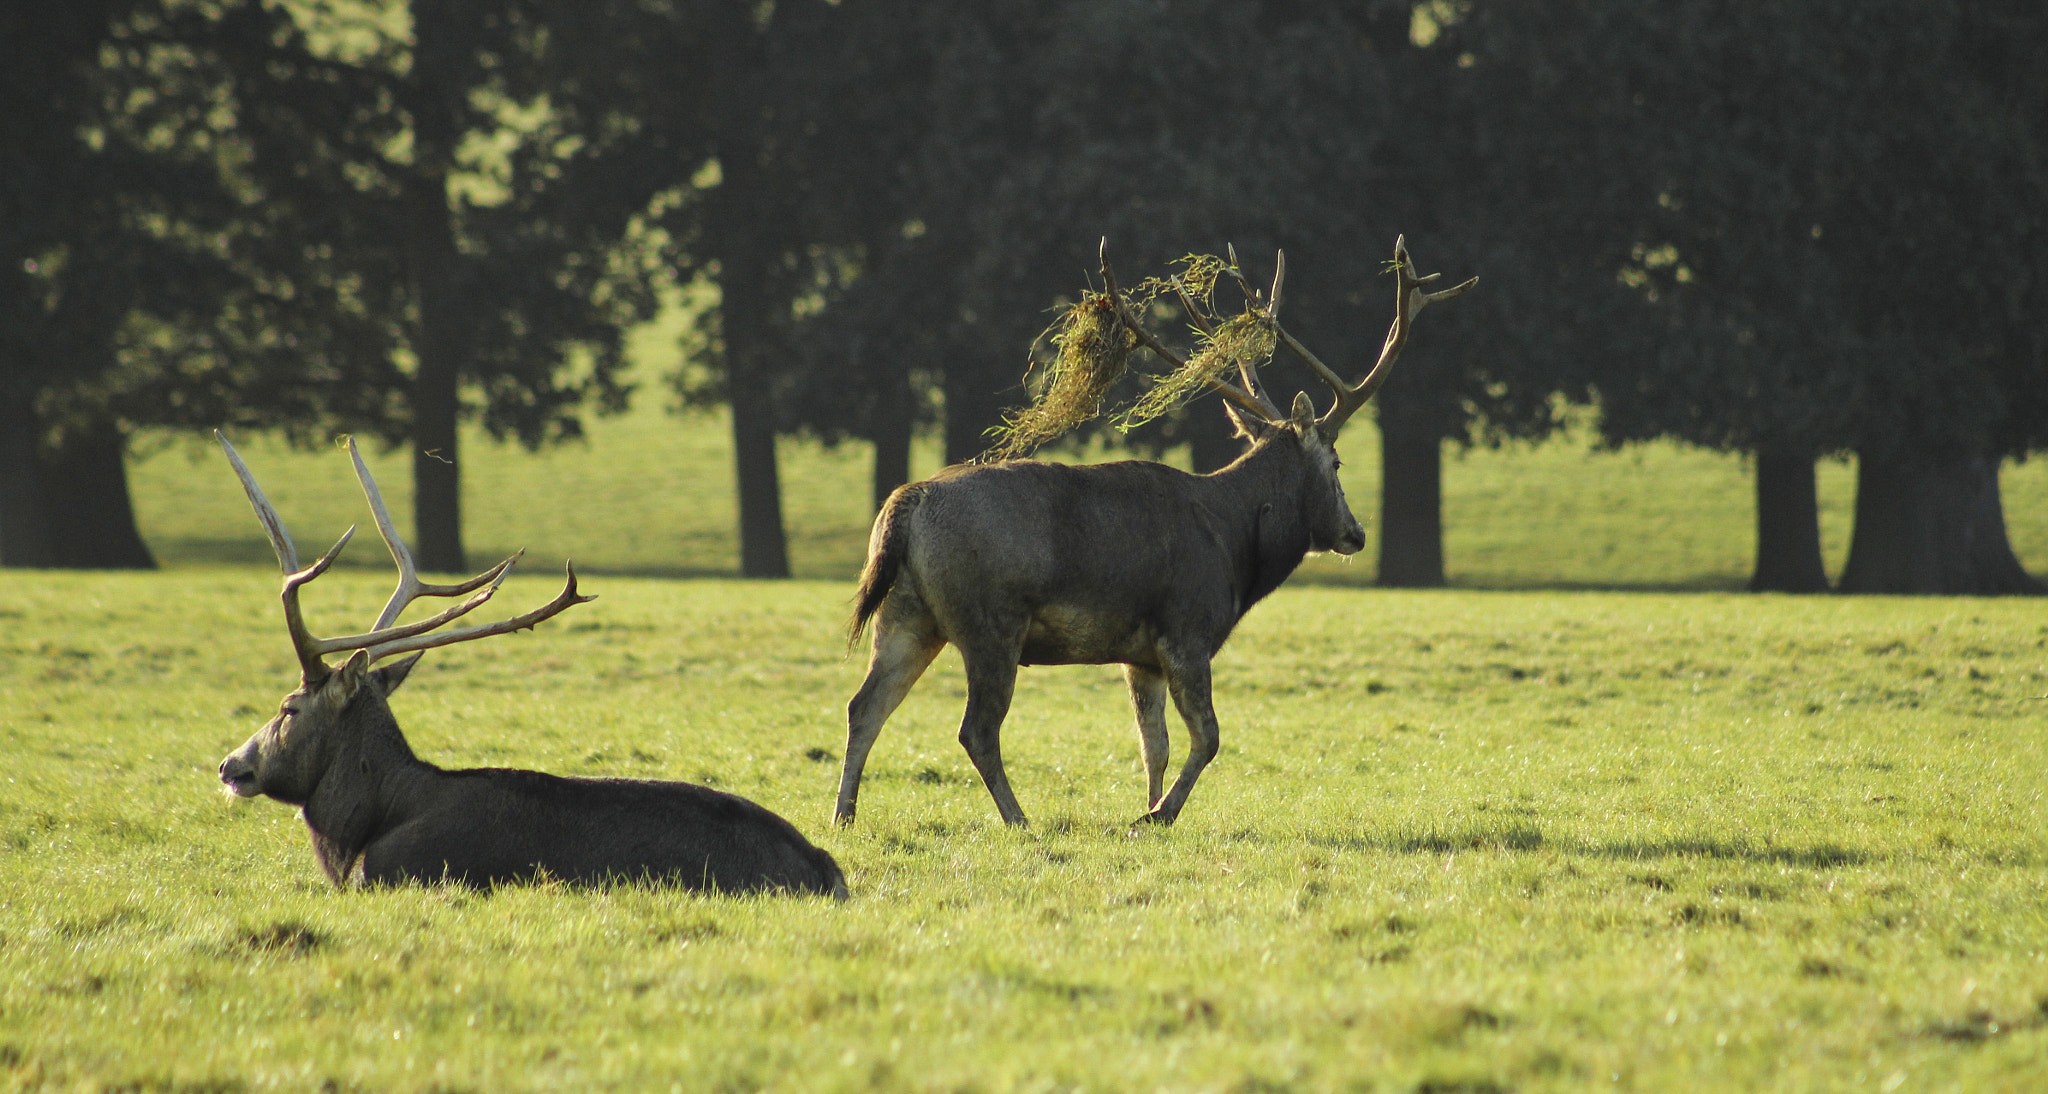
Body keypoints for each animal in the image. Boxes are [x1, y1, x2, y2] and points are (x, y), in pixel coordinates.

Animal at [831, 235, 1474, 827]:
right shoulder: (1187, 627)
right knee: (975, 729)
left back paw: (844, 814)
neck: (1236, 552)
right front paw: (1159, 814)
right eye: (1337, 463)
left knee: (865, 706)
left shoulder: (1139, 654)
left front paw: (1147, 806)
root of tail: (905, 504)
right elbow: (1209, 737)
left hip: (908, 611)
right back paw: (1018, 818)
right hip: (991, 622)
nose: (1356, 532)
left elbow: (1153, 746)